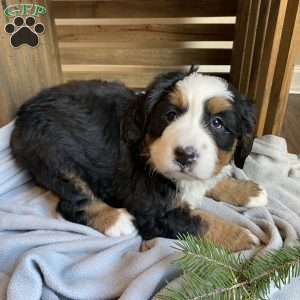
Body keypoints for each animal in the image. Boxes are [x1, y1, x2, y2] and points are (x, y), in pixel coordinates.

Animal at [10, 69, 268, 251]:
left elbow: (213, 178)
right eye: (170, 115)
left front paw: (248, 191)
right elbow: (203, 221)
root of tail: (25, 113)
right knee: (72, 202)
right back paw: (116, 219)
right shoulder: (154, 213)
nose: (184, 155)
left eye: (218, 123)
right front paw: (243, 236)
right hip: (57, 159)